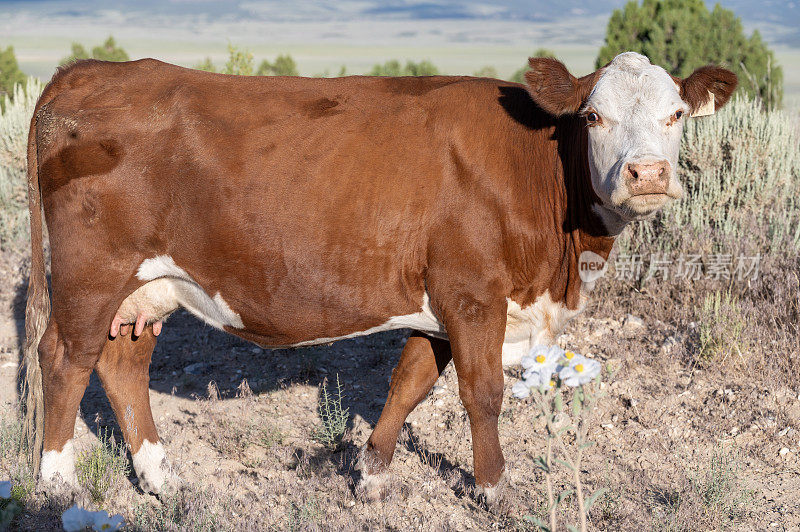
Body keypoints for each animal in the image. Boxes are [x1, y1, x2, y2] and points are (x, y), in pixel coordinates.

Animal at [23, 52, 736, 500]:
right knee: (64, 357)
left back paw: (161, 477)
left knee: (121, 361)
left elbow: (408, 383)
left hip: (147, 285)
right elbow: (482, 394)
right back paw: (55, 486)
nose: (647, 174)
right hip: (91, 274)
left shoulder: (440, 302)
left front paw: (372, 474)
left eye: (675, 114)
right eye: (593, 116)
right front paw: (495, 488)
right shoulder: (473, 294)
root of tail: (86, 74)